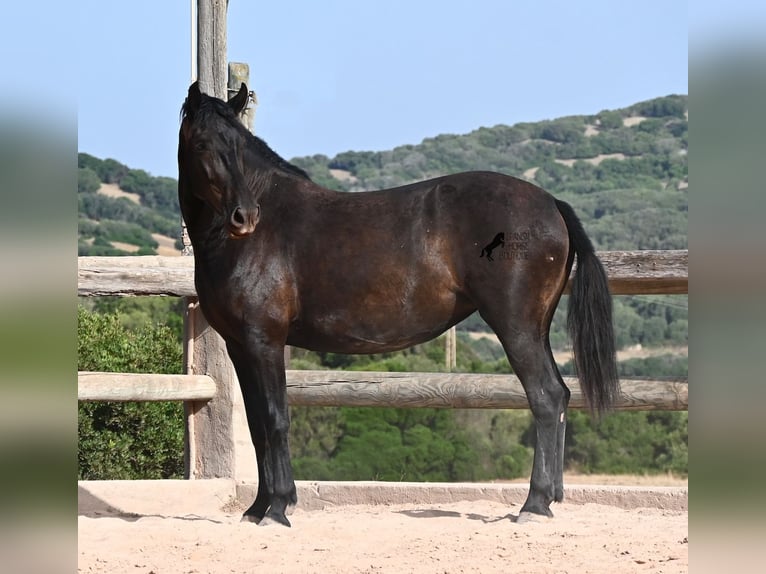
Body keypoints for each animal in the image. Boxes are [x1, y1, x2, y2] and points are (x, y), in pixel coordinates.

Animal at [178, 82, 619, 526]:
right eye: (202, 143)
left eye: (239, 145)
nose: (245, 216)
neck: (257, 236)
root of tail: (551, 203)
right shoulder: (240, 345)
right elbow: (256, 425)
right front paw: (256, 509)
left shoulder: (264, 340)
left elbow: (275, 419)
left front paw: (279, 507)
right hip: (536, 328)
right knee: (560, 395)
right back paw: (550, 498)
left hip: (516, 328)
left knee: (545, 397)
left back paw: (533, 504)